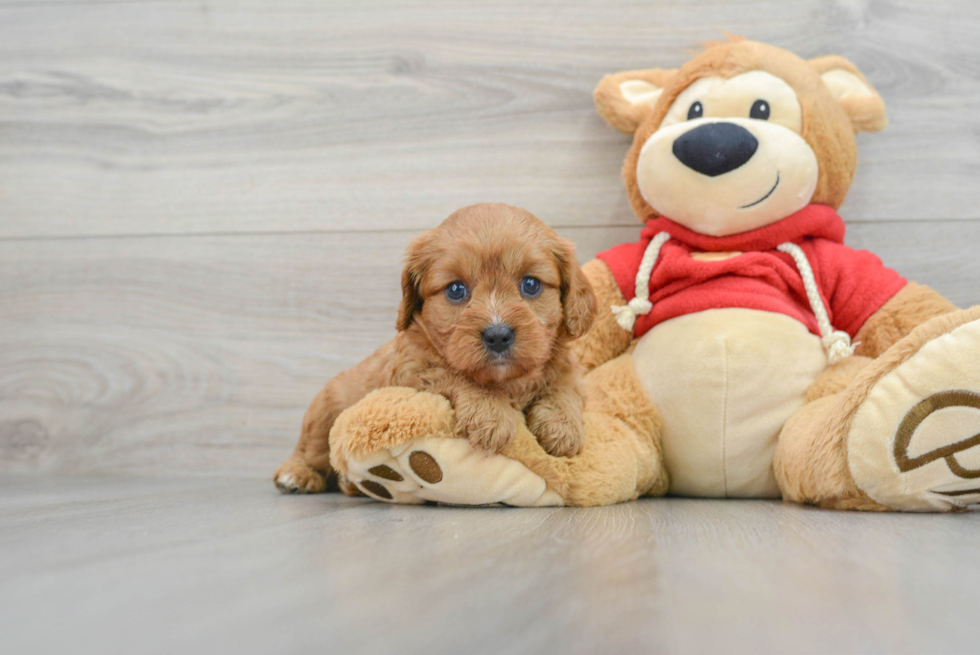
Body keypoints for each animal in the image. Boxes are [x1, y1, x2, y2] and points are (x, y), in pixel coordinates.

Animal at [274, 202, 596, 494]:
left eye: (530, 284)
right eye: (456, 289)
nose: (498, 335)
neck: (506, 382)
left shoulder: (566, 365)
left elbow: (565, 386)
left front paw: (563, 428)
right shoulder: (412, 370)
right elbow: (455, 374)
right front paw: (492, 416)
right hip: (325, 411)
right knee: (311, 449)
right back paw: (298, 475)